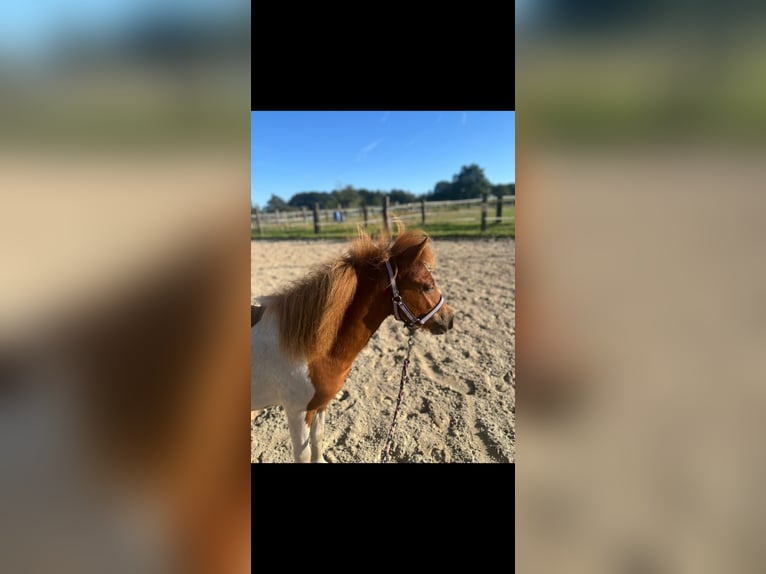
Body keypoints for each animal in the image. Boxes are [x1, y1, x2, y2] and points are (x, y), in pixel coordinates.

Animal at [251, 228, 455, 462]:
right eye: (426, 286)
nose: (449, 319)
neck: (311, 349)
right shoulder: (298, 411)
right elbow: (303, 454)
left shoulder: (319, 405)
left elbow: (318, 440)